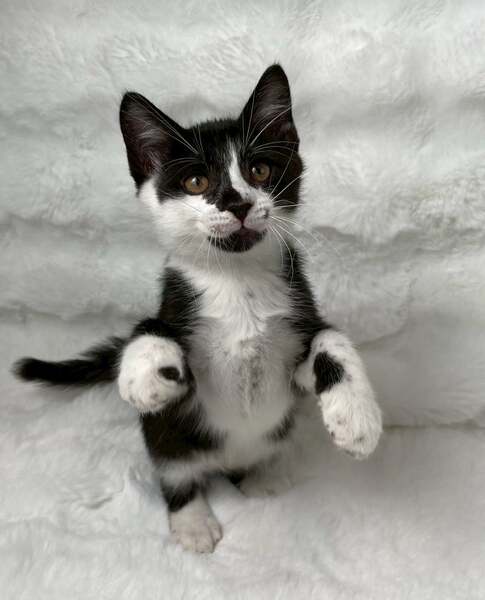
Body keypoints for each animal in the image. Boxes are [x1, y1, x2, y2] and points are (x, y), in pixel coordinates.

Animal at [14, 64, 382, 553]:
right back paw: (192, 521)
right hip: (169, 441)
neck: (239, 284)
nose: (238, 202)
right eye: (197, 183)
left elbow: (330, 340)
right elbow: (150, 326)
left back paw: (264, 478)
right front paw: (141, 375)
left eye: (259, 170)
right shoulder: (184, 347)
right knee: (176, 473)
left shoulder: (296, 343)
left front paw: (357, 417)